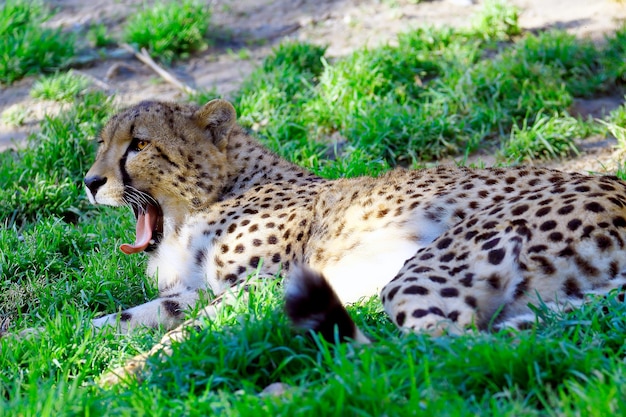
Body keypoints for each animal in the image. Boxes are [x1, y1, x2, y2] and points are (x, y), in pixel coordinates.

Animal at [85, 98, 624, 384]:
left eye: (140, 144)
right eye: (101, 143)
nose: (89, 182)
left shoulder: (263, 284)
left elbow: (183, 333)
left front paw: (118, 377)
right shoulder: (197, 289)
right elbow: (122, 318)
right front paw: (65, 352)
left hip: (425, 267)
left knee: (442, 346)